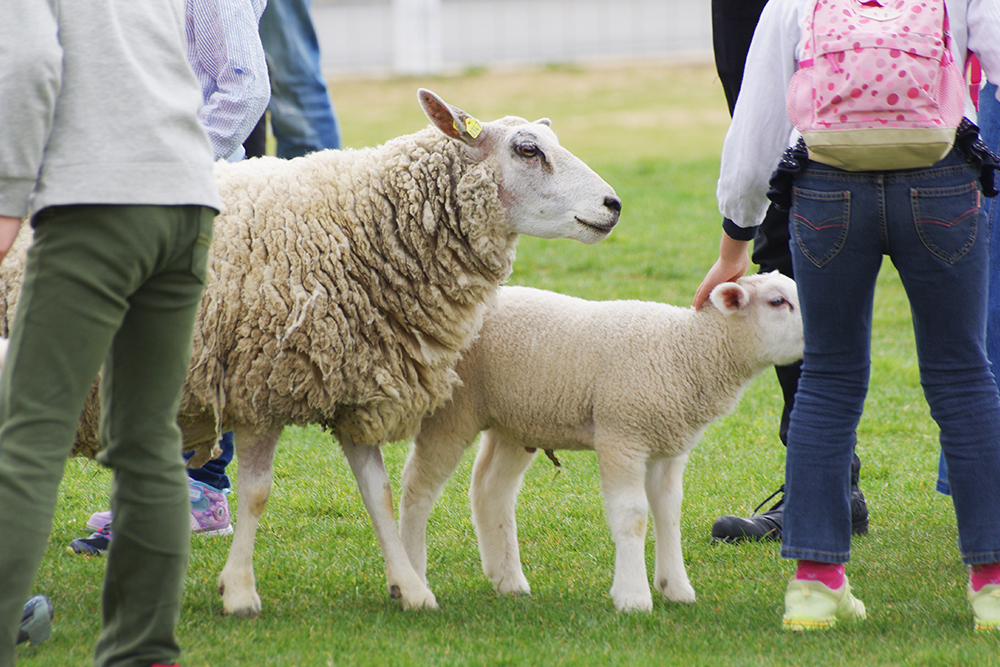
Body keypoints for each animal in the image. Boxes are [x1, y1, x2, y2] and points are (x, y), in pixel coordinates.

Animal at [0, 88, 616, 616]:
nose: (612, 204)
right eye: (527, 150)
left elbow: (379, 495)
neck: (358, 227)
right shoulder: (259, 385)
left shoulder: (355, 383)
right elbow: (255, 494)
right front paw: (239, 592)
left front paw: (410, 588)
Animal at [394, 272, 800, 612]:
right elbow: (633, 516)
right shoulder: (622, 434)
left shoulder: (668, 446)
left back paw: (508, 580)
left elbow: (668, 513)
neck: (684, 352)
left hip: (514, 420)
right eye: (777, 301)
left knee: (490, 489)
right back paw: (412, 580)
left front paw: (676, 588)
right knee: (417, 489)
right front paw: (633, 597)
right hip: (452, 412)